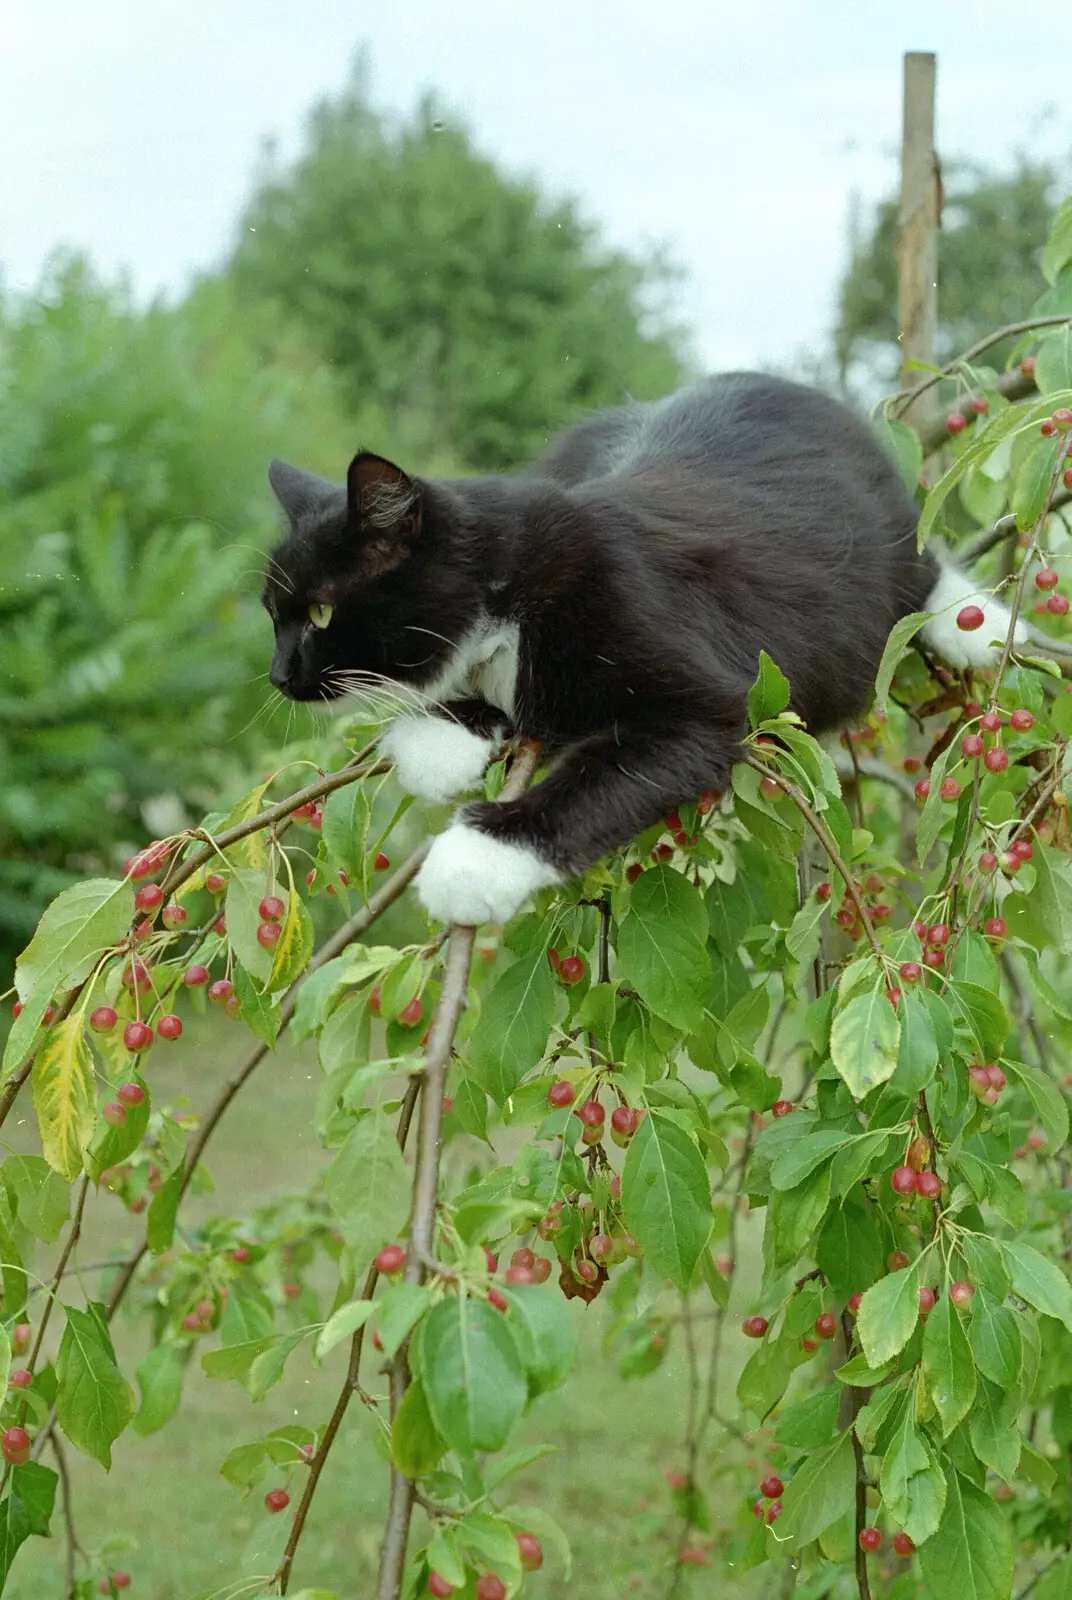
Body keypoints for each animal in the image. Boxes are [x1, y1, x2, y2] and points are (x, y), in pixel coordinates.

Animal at [264, 372, 1017, 921]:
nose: (276, 675)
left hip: (886, 551)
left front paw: (477, 857)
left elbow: (598, 780)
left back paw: (976, 621)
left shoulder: (701, 697)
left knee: (923, 570)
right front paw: (443, 733)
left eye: (321, 612)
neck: (510, 591)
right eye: (274, 614)